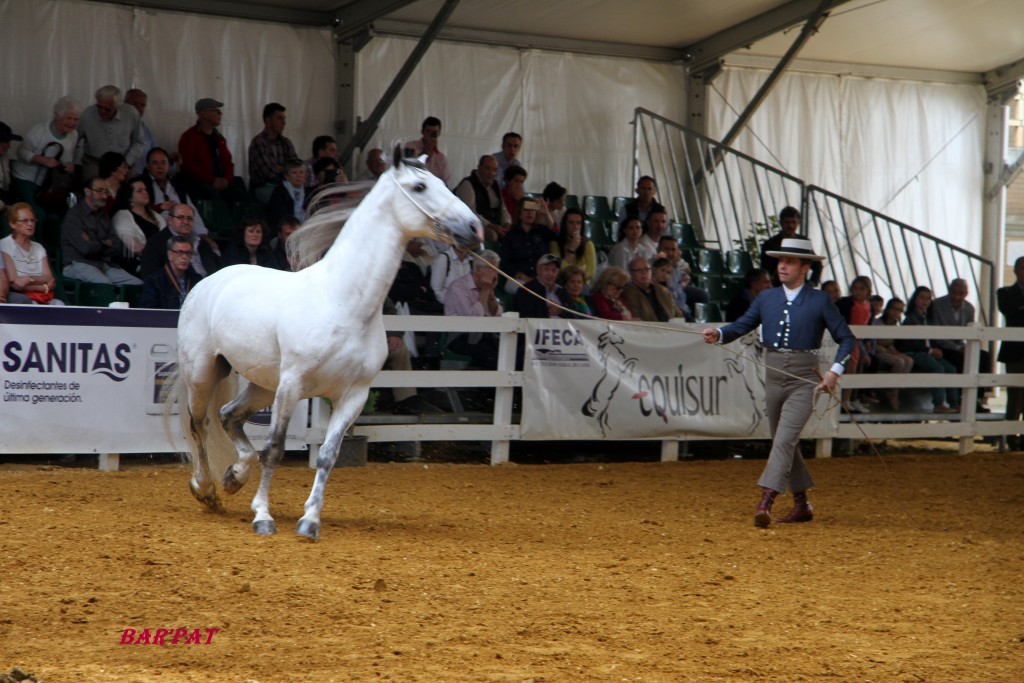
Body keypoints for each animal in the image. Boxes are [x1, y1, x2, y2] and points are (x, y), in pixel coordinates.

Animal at [174, 153, 481, 540]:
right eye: (420, 186)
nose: (474, 229)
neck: (343, 301)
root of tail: (210, 281)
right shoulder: (292, 386)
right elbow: (274, 449)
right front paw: (263, 517)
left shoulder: (353, 396)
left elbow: (328, 456)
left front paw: (310, 521)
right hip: (203, 372)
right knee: (198, 422)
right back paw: (205, 489)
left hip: (263, 385)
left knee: (228, 415)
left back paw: (234, 477)